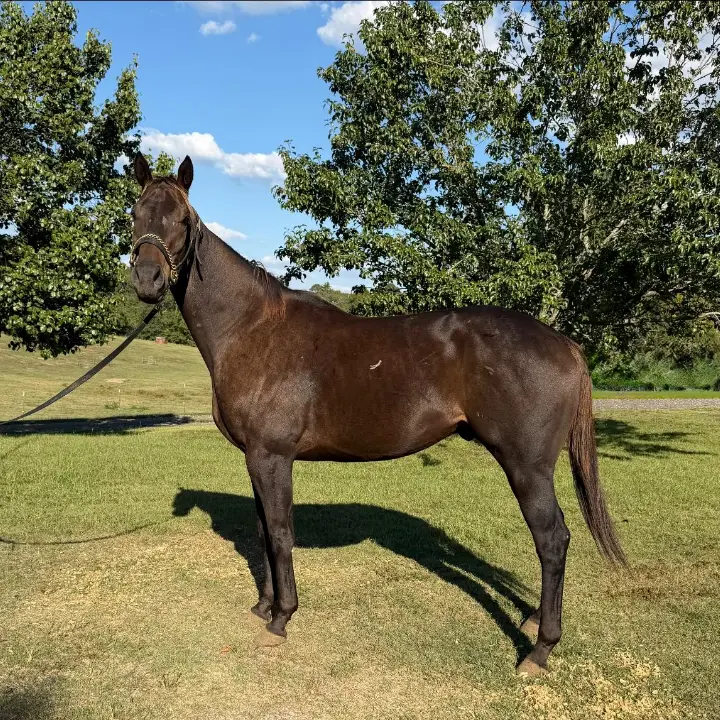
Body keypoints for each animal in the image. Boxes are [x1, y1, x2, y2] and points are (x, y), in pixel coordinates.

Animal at [129, 153, 625, 677]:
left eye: (183, 221)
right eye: (135, 213)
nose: (147, 280)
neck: (251, 329)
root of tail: (564, 343)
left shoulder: (271, 456)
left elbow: (280, 533)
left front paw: (281, 619)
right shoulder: (255, 458)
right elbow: (262, 529)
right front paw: (263, 607)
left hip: (526, 467)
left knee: (552, 540)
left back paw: (540, 648)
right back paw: (532, 621)